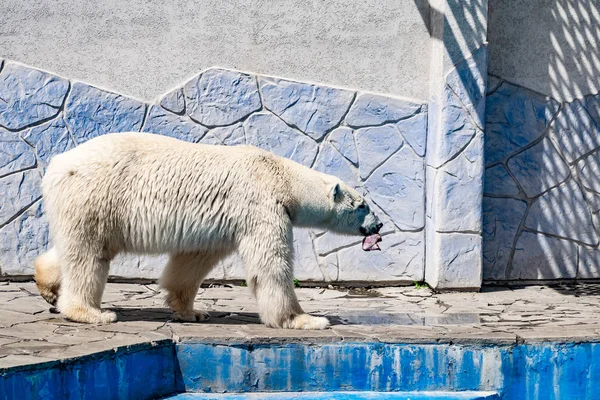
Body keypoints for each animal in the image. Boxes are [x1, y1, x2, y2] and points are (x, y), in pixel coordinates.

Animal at [35, 131, 384, 328]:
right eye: (362, 205)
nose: (379, 225)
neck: (279, 175)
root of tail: (56, 164)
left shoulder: (219, 222)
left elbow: (192, 260)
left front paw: (192, 312)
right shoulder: (259, 205)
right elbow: (270, 265)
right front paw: (304, 319)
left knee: (77, 248)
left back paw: (47, 284)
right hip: (98, 196)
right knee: (88, 254)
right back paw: (91, 312)